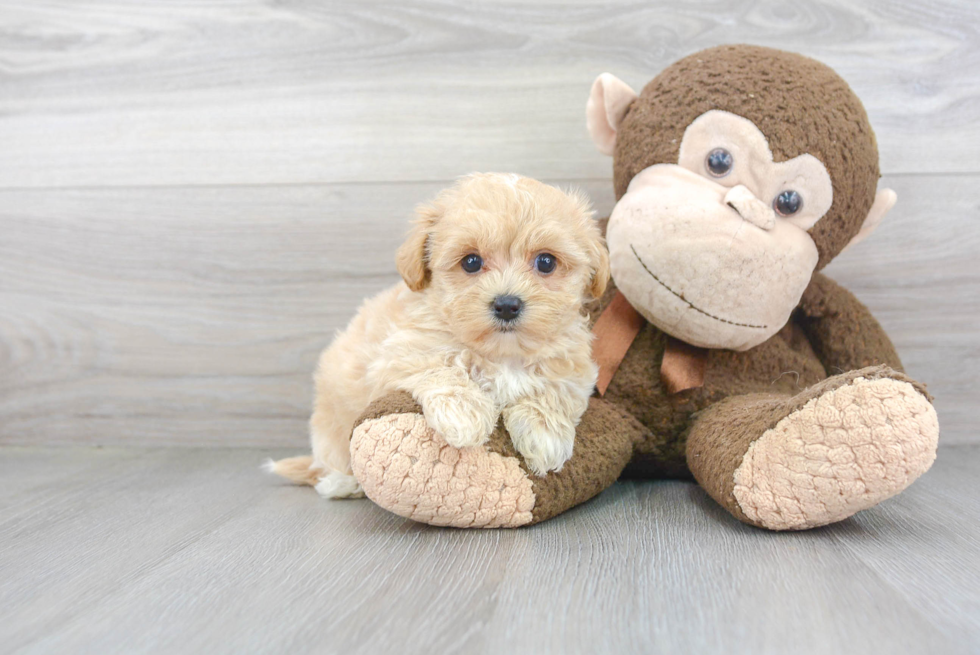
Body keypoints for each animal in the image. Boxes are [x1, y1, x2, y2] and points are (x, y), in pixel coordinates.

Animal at [264, 172, 608, 500]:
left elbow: (555, 389)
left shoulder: (574, 366)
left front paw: (545, 434)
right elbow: (442, 367)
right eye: (471, 262)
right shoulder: (397, 355)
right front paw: (464, 414)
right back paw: (341, 482)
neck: (502, 353)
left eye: (546, 262)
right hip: (331, 422)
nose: (507, 305)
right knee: (329, 460)